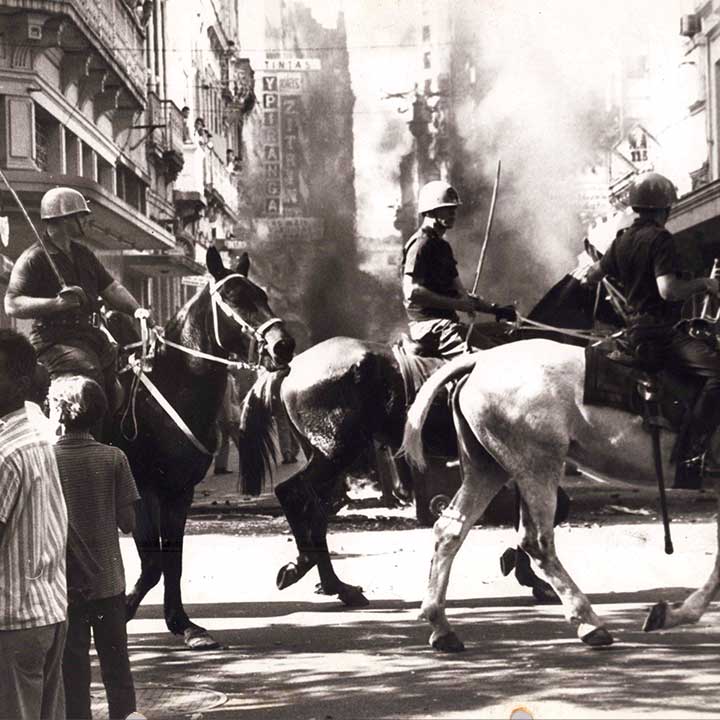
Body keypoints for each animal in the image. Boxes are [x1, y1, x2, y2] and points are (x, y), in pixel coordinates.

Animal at [106, 246, 296, 648]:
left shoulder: (179, 493)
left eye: (263, 295)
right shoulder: (142, 491)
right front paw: (122, 615)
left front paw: (182, 624)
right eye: (233, 298)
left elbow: (172, 562)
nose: (283, 345)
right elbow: (153, 565)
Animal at [402, 338, 716, 652]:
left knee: (450, 531)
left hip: (487, 469)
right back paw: (589, 622)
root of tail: (481, 360)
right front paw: (678, 613)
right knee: (537, 543)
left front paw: (677, 614)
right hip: (538, 468)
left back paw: (442, 627)